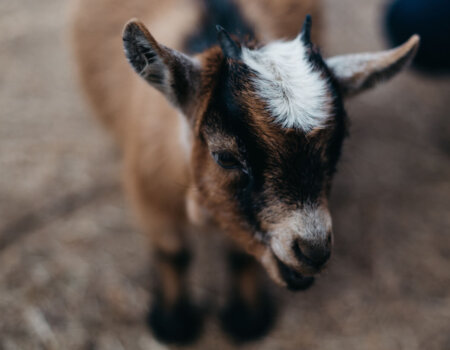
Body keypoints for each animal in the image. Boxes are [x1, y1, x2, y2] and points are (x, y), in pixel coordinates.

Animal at [70, 0, 418, 344]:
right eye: (225, 157)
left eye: (338, 146)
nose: (314, 251)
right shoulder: (148, 192)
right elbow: (173, 252)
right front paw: (175, 324)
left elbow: (239, 256)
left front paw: (246, 320)